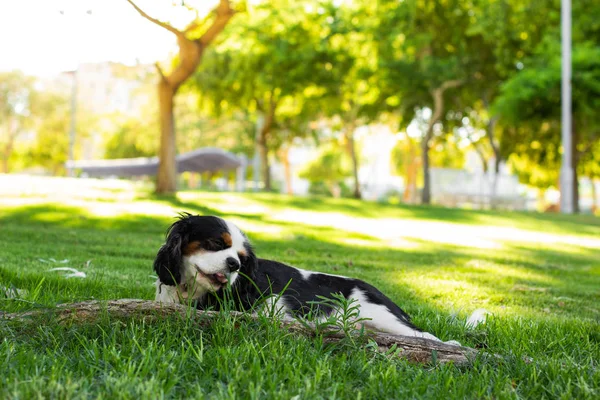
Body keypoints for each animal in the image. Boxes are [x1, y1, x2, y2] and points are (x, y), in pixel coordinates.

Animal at [152, 212, 458, 344]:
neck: (192, 289)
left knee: (427, 336)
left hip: (383, 319)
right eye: (217, 243)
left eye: (242, 258)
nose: (234, 264)